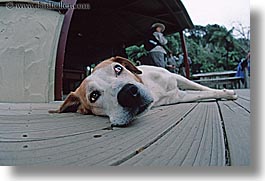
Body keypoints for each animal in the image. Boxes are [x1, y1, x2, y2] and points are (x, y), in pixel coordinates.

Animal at [50, 56, 237, 126]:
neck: (153, 88)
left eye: (118, 68)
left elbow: (202, 87)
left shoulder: (176, 77)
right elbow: (204, 93)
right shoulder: (179, 96)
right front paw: (225, 93)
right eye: (94, 96)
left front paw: (226, 92)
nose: (128, 93)